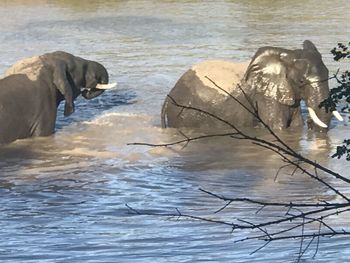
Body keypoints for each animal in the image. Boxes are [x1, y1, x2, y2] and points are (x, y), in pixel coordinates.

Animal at [163, 40, 344, 132]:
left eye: (329, 74)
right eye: (301, 81)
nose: (311, 124)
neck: (286, 56)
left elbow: (296, 125)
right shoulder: (265, 97)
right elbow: (278, 128)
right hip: (185, 114)